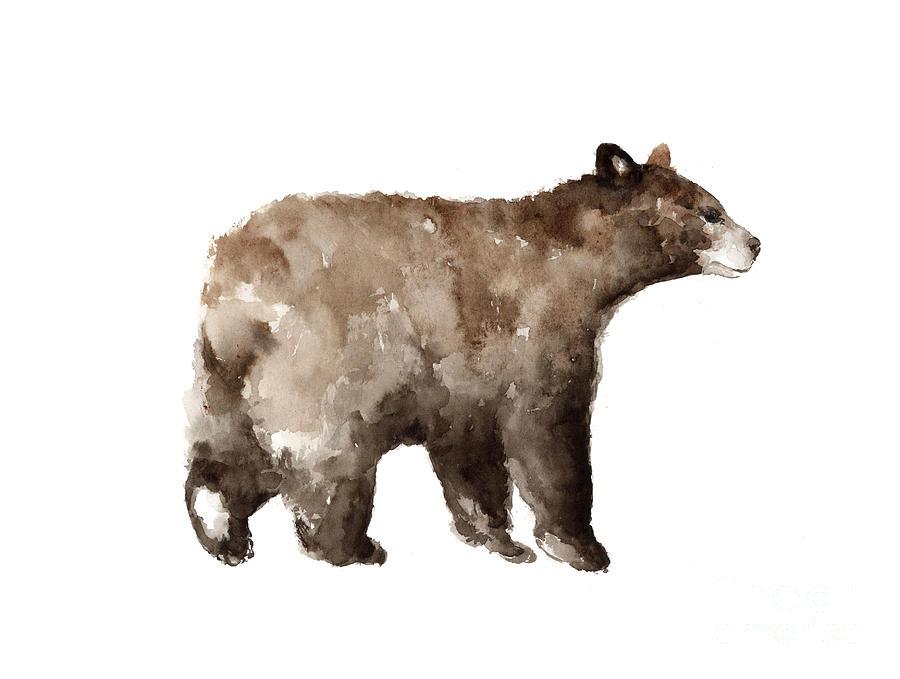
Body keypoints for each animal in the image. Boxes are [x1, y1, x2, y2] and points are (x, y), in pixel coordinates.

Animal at [184, 142, 760, 571]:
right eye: (711, 211)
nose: (755, 243)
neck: (578, 266)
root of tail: (234, 276)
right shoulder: (535, 332)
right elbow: (550, 436)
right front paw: (581, 548)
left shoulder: (463, 372)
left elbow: (470, 453)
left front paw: (500, 540)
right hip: (329, 360)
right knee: (329, 459)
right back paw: (349, 547)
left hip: (230, 372)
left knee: (231, 447)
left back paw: (221, 533)